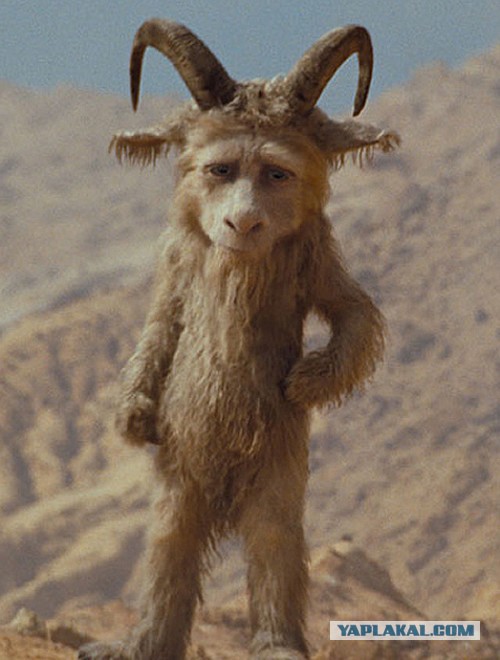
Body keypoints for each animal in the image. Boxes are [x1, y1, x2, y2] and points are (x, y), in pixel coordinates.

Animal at [79, 18, 399, 660]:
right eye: (219, 169)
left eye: (278, 172)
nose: (244, 223)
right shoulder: (177, 267)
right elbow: (161, 325)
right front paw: (132, 415)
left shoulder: (316, 262)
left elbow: (355, 313)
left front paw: (304, 382)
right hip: (181, 474)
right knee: (170, 539)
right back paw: (144, 643)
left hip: (277, 469)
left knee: (275, 539)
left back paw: (277, 643)